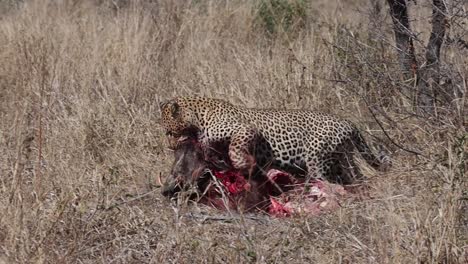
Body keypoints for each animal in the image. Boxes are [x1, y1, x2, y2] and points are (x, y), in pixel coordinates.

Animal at [161, 96, 388, 185]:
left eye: (169, 132)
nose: (170, 146)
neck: (199, 117)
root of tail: (350, 124)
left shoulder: (245, 129)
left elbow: (235, 149)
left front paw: (246, 164)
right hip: (342, 159)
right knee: (355, 176)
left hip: (318, 160)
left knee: (324, 179)